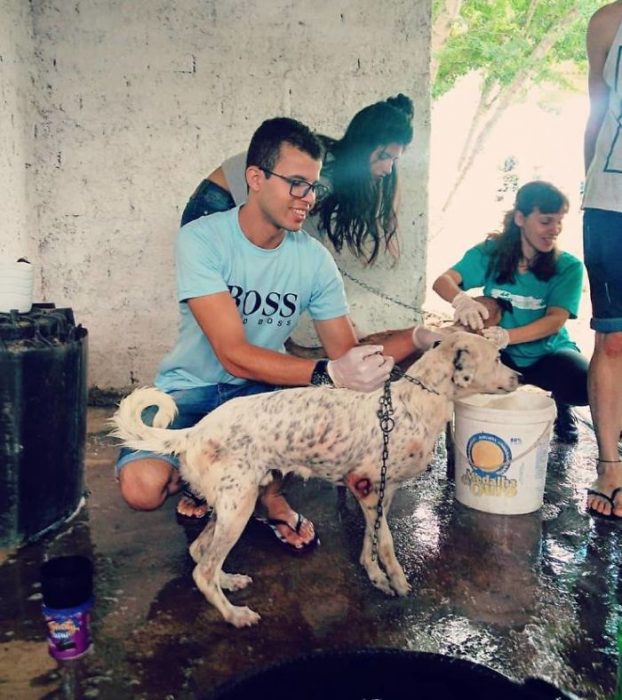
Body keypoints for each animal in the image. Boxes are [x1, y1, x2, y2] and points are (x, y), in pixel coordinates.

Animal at [113, 334, 520, 628]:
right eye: (497, 358)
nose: (519, 378)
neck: (415, 402)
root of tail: (194, 432)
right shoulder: (365, 485)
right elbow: (387, 543)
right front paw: (397, 581)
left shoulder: (379, 494)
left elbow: (373, 539)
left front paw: (375, 576)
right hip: (238, 507)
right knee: (202, 569)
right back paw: (234, 614)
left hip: (234, 501)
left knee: (200, 553)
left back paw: (228, 582)